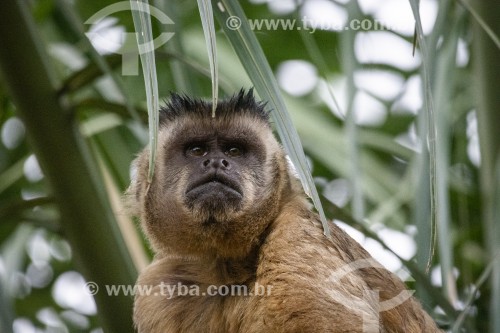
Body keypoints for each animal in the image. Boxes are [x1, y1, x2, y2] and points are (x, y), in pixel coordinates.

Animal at [126, 89, 442, 330]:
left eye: (233, 151)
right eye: (197, 150)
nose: (216, 162)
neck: (228, 269)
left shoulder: (298, 236)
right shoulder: (160, 283)